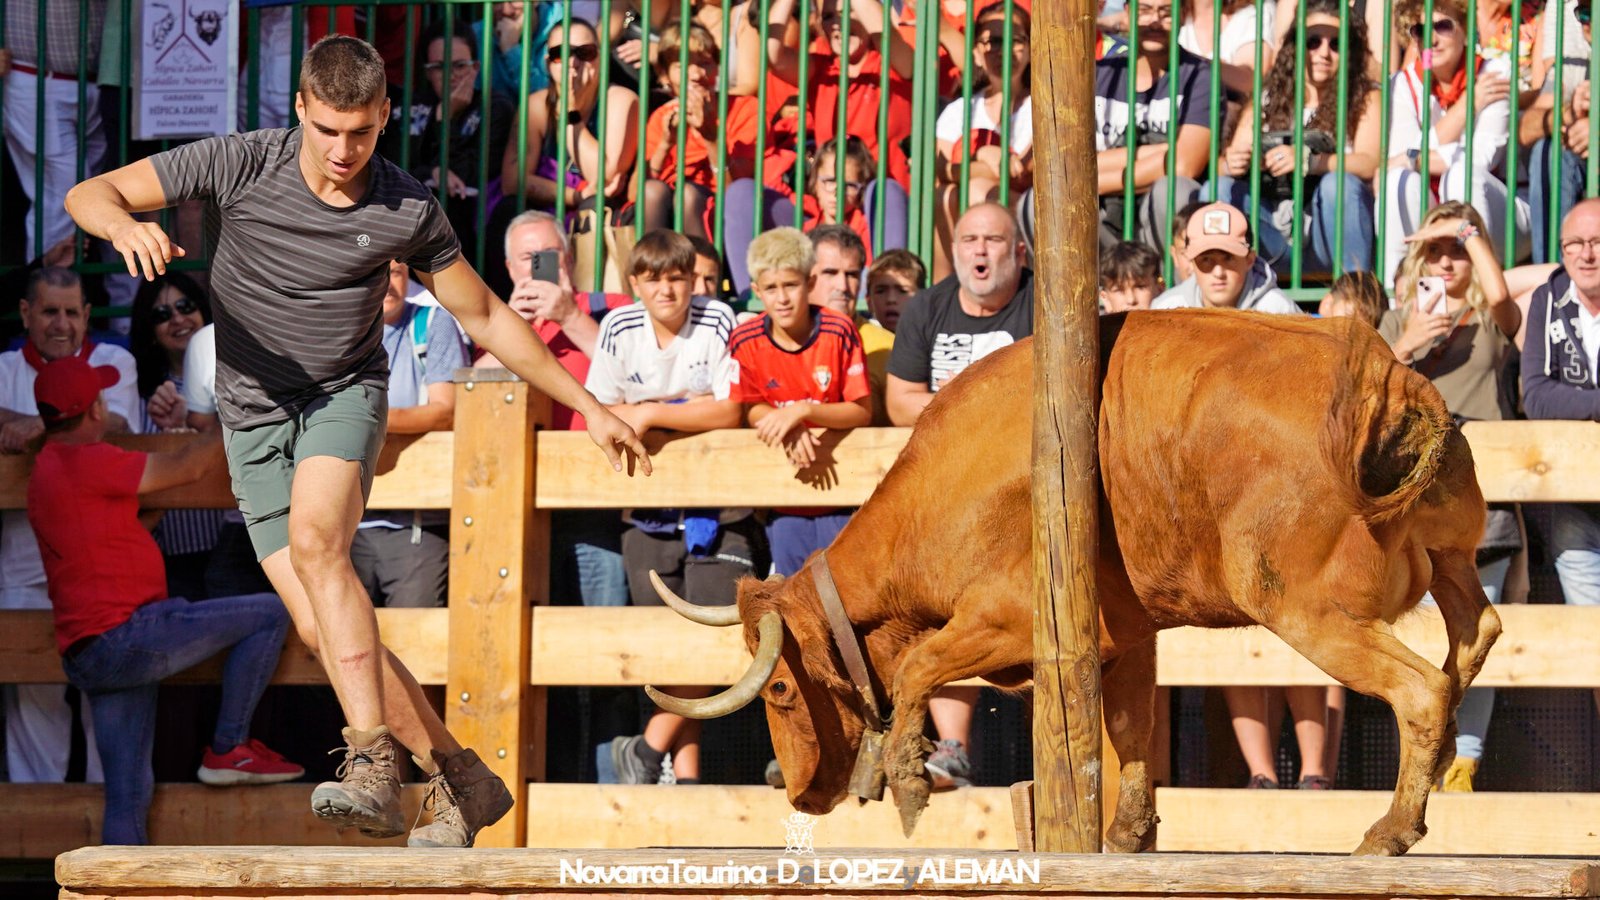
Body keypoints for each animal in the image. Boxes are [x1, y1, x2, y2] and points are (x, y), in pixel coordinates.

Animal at [643, 310, 1491, 851]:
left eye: (784, 691)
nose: (800, 794)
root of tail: (1386, 386)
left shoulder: (1007, 621)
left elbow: (920, 665)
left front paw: (910, 780)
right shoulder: (1125, 639)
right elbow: (1131, 730)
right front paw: (1128, 831)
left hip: (1309, 610)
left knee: (1420, 689)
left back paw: (1391, 831)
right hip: (1447, 559)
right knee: (1476, 636)